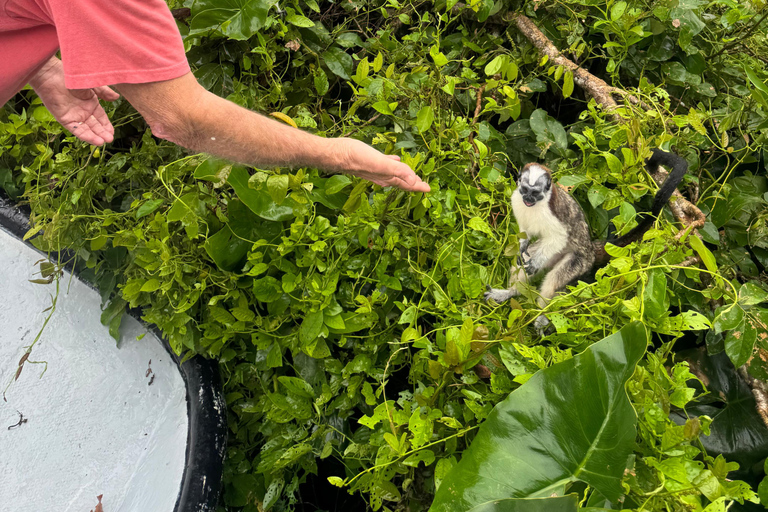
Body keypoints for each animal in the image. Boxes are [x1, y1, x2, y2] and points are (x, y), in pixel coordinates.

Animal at [484, 149, 688, 332]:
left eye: (535, 193)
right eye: (525, 190)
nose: (527, 198)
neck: (534, 206)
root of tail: (590, 247)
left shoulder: (550, 213)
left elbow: (558, 236)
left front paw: (535, 264)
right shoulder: (516, 200)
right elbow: (524, 234)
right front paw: (522, 246)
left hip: (580, 260)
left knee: (555, 278)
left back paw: (542, 315)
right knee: (524, 262)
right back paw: (510, 293)